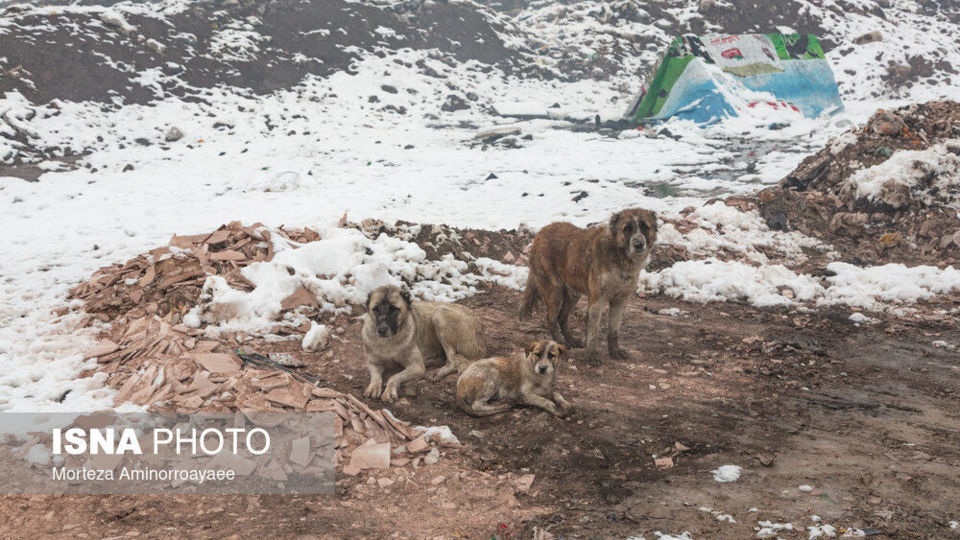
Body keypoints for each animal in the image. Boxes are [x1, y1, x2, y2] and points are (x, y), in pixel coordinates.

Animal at [516, 207, 660, 362]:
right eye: (627, 228)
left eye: (645, 227)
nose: (638, 244)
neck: (619, 255)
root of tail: (540, 233)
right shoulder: (597, 300)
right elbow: (593, 332)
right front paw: (591, 355)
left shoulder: (620, 300)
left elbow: (613, 330)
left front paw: (615, 351)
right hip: (554, 291)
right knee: (551, 318)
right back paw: (559, 342)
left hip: (573, 294)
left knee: (562, 317)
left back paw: (571, 340)